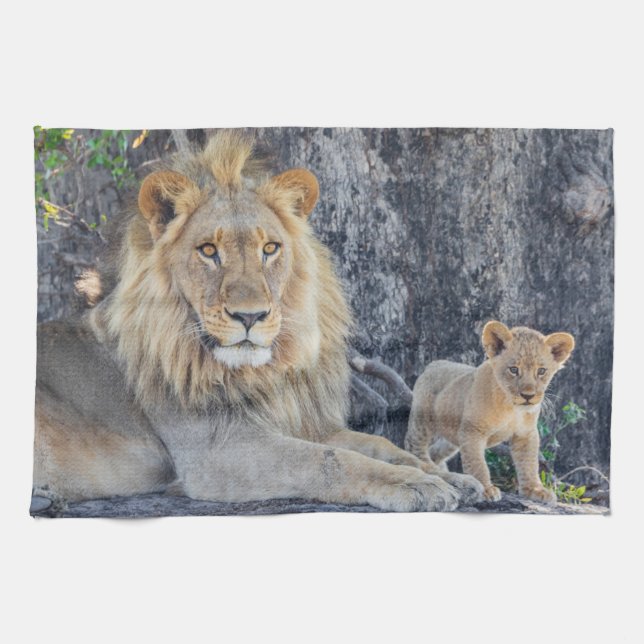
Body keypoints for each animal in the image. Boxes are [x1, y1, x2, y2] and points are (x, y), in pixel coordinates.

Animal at [33, 130, 483, 514]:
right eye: (208, 250)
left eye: (270, 248)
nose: (250, 316)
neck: (261, 373)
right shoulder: (217, 452)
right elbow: (331, 460)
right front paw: (414, 484)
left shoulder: (300, 422)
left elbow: (376, 443)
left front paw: (450, 479)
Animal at [404, 321, 575, 503]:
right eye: (513, 369)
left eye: (541, 371)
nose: (528, 396)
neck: (511, 407)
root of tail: (433, 363)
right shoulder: (472, 431)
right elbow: (477, 463)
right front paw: (485, 489)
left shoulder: (525, 433)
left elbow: (529, 463)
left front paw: (534, 490)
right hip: (423, 420)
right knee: (413, 444)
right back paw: (427, 466)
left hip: (452, 436)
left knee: (436, 451)